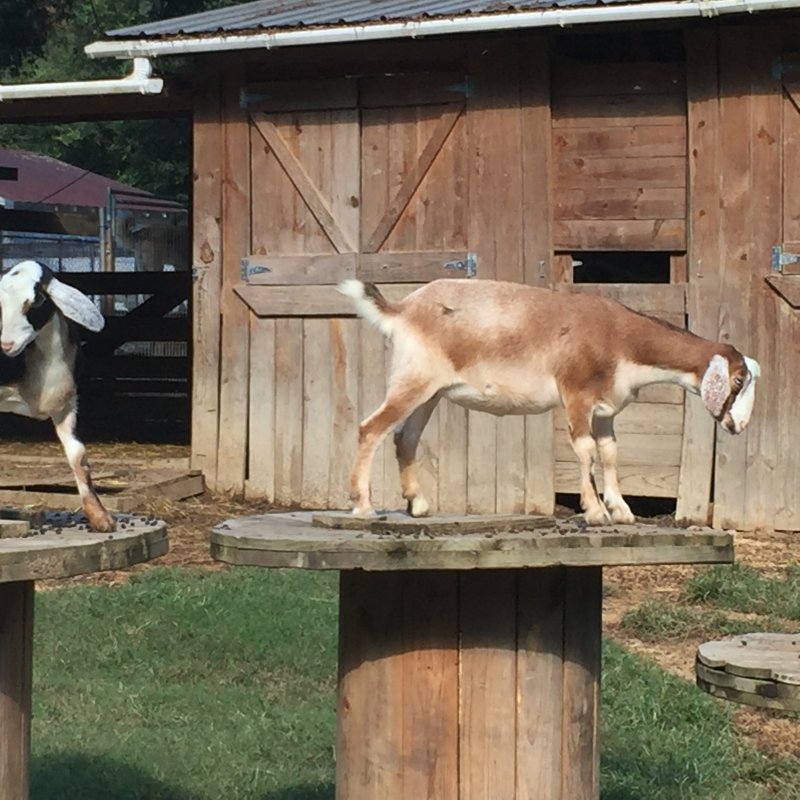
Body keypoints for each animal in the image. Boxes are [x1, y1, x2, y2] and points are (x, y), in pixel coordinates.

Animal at [340, 278, 764, 528]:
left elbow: (610, 452)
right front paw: (595, 512)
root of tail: (403, 308)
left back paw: (418, 505)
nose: (739, 426)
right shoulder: (575, 394)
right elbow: (585, 449)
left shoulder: (606, 409)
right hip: (413, 380)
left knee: (404, 437)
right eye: (738, 380)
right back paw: (363, 506)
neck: (617, 335)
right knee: (370, 429)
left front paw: (621, 510)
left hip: (429, 393)